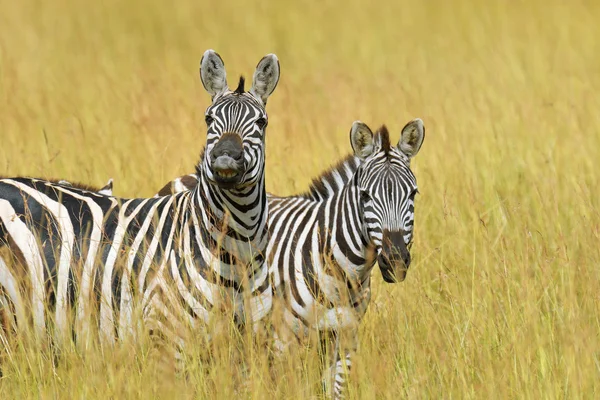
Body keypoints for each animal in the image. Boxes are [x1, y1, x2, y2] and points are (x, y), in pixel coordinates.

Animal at [0, 48, 282, 354]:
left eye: (261, 122)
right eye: (208, 119)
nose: (225, 158)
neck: (237, 248)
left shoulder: (250, 344)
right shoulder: (167, 335)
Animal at [152, 118, 424, 396]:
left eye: (413, 194)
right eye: (365, 195)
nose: (395, 261)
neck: (342, 273)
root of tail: (186, 176)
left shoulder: (344, 340)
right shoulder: (281, 342)